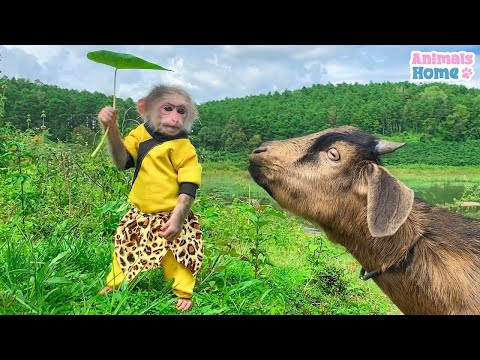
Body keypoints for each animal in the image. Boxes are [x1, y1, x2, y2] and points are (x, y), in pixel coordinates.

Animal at [97, 84, 202, 312]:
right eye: (168, 108)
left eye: (181, 111)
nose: (175, 118)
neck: (162, 137)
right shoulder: (139, 133)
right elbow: (126, 161)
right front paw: (108, 119)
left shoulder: (186, 148)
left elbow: (188, 184)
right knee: (120, 260)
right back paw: (111, 287)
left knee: (180, 265)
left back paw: (184, 297)